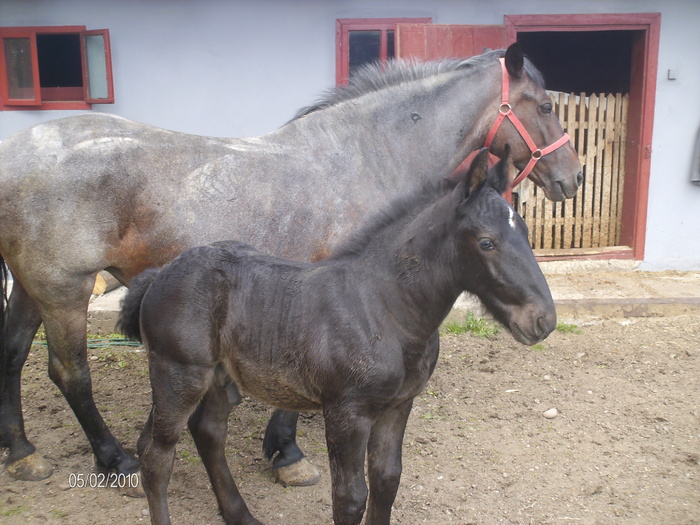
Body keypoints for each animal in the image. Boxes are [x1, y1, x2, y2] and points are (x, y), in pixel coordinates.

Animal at [0, 43, 580, 486]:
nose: (572, 178)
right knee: (69, 373)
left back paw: (23, 453)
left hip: (29, 288)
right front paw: (288, 454)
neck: (364, 155)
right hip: (63, 290)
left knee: (12, 355)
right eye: (546, 106)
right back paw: (113, 457)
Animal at [121, 148, 556, 524]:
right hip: (179, 374)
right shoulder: (348, 412)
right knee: (157, 455)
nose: (544, 320)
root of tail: (159, 274)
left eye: (526, 231)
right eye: (486, 242)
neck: (385, 308)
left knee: (207, 433)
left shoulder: (398, 406)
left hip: (219, 379)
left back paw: (241, 516)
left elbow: (386, 480)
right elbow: (350, 498)